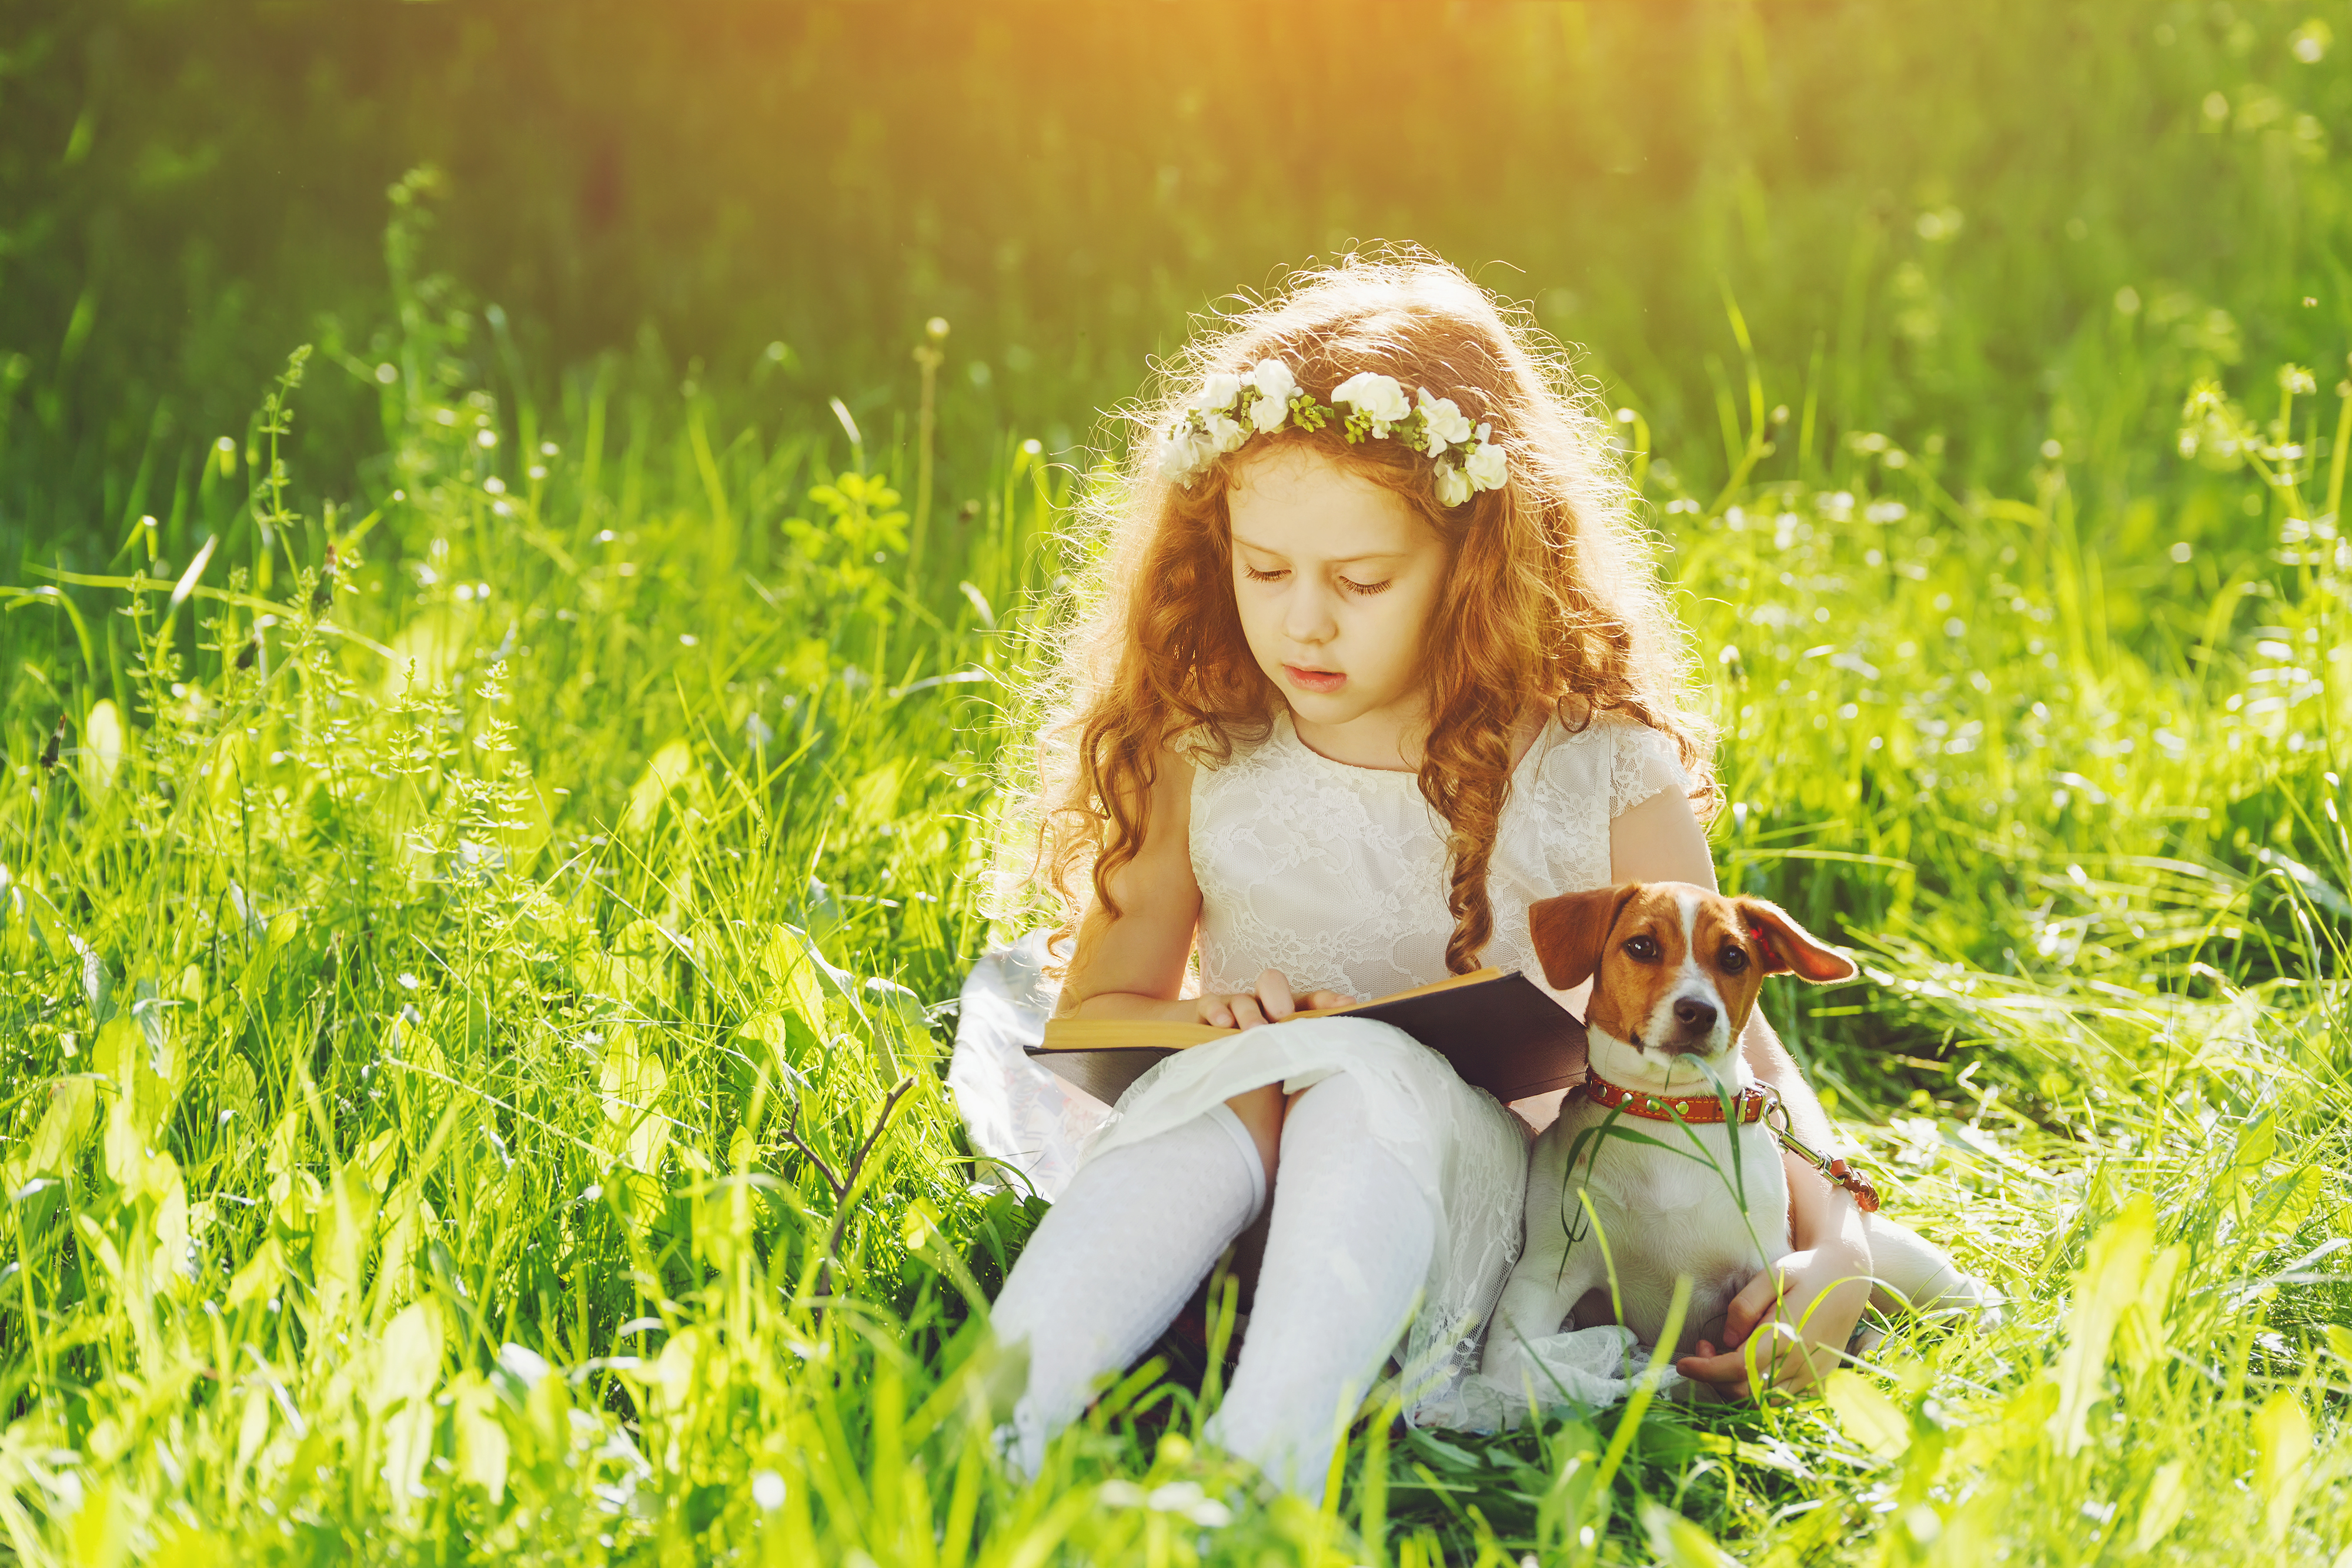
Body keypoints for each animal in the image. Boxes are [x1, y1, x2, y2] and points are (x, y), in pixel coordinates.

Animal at [1486, 888, 1985, 1392]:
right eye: (1642, 946)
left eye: (1733, 957)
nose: (1698, 1011)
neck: (1669, 1113)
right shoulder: (1547, 1269)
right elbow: (1512, 1365)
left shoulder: (1764, 1261)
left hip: (1899, 1260)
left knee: (1968, 1296)